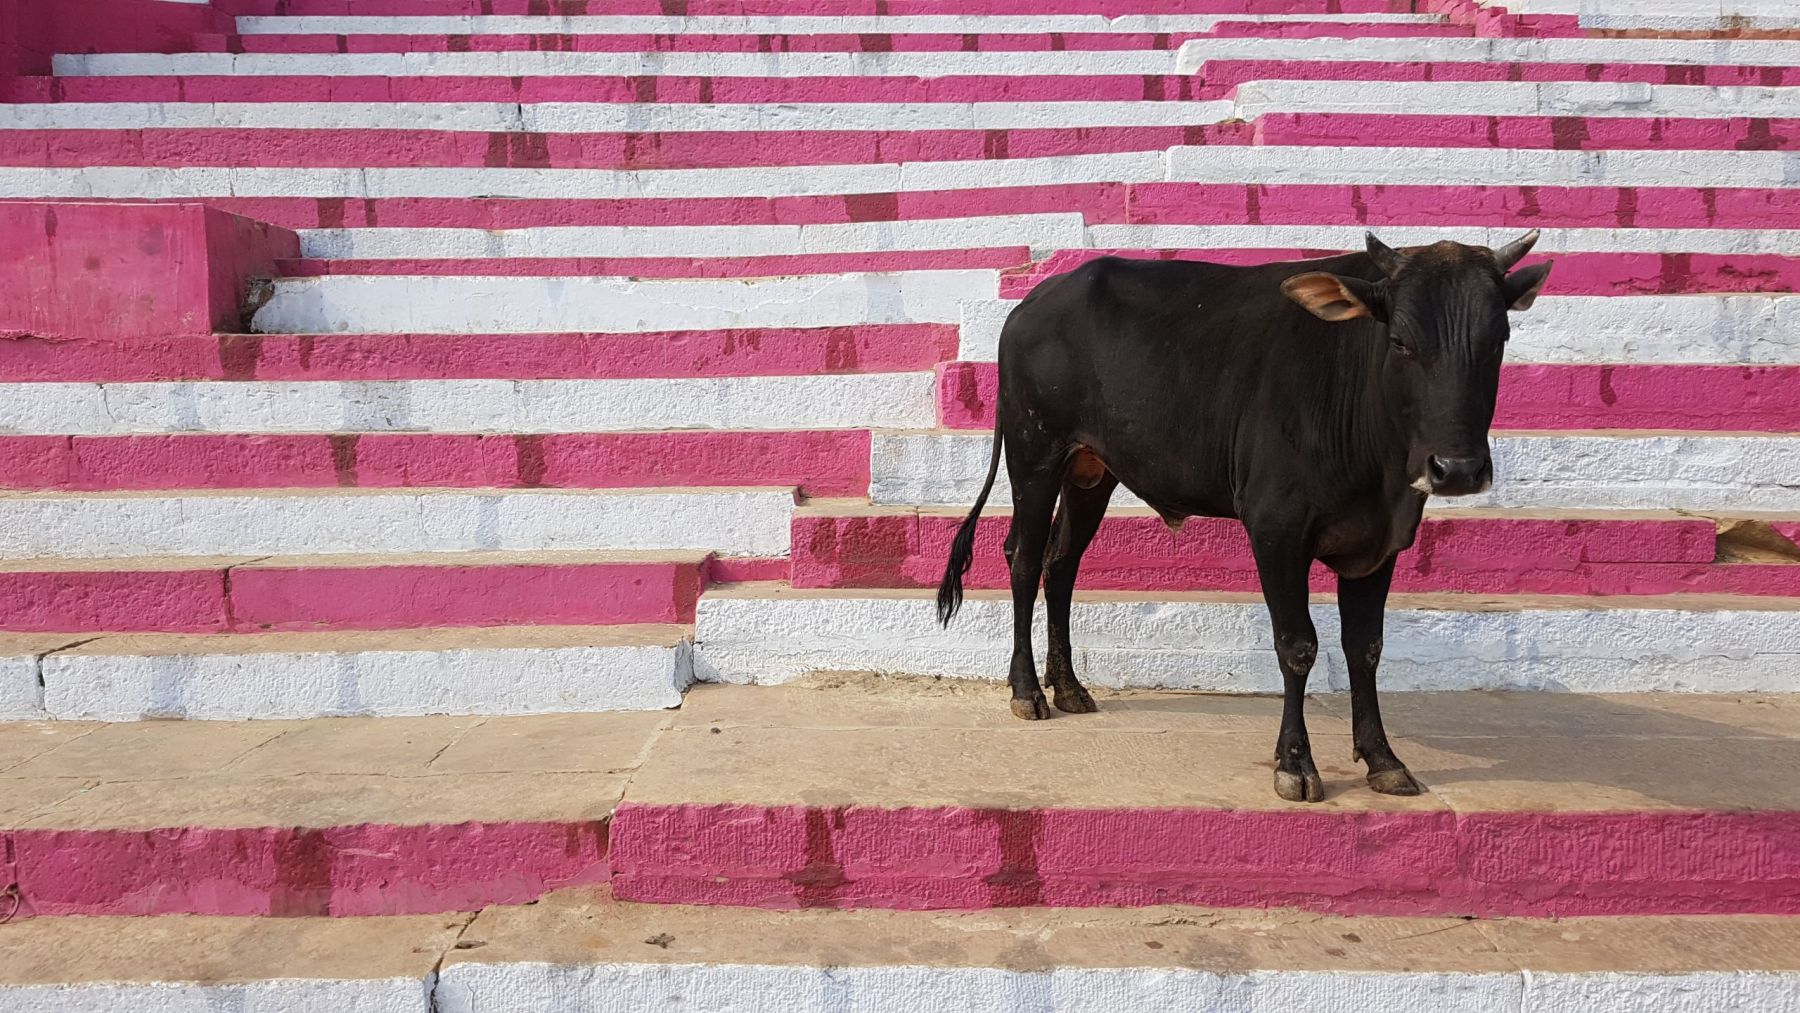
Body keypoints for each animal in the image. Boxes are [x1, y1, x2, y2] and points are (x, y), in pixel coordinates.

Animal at [943, 233, 1548, 806]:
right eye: (1400, 341)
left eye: (1498, 340)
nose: (1458, 469)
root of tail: (1034, 302)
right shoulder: (1276, 527)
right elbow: (1298, 645)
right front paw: (1296, 764)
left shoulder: (1378, 543)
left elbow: (1366, 649)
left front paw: (1383, 759)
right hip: (1035, 456)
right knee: (1024, 558)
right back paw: (1028, 691)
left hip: (1091, 470)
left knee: (1062, 562)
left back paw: (1068, 687)